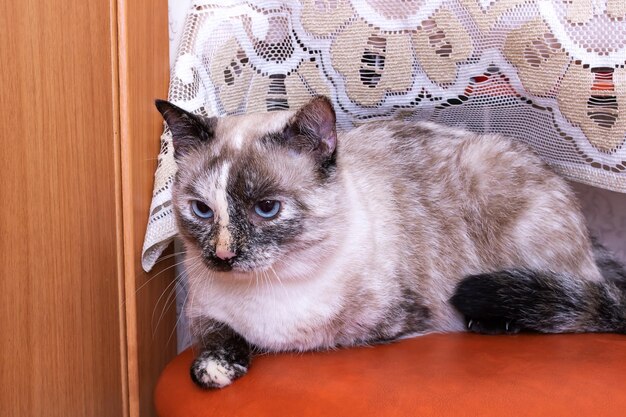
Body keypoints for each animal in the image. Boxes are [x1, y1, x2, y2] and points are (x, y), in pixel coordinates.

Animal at [155, 96, 624, 388]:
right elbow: (218, 335)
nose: (223, 256)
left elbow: (282, 340)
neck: (274, 284)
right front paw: (215, 368)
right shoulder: (202, 314)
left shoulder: (390, 324)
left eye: (267, 208)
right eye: (201, 210)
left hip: (491, 181)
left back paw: (496, 321)